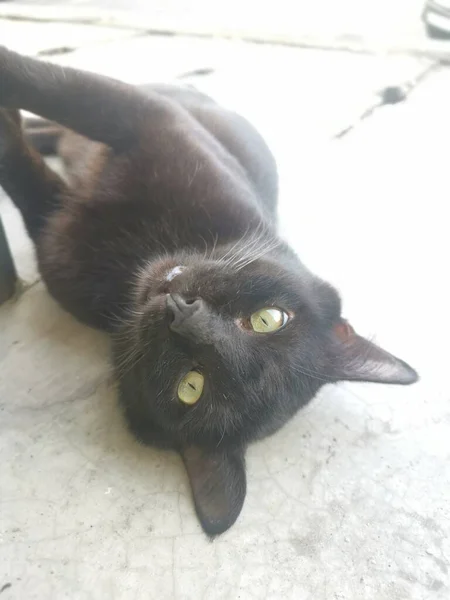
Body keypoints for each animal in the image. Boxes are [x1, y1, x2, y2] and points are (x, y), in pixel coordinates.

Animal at [0, 47, 418, 536]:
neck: (140, 255)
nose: (183, 313)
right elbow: (55, 85)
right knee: (55, 125)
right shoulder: (149, 118)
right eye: (270, 319)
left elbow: (19, 165)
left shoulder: (52, 230)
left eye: (191, 386)